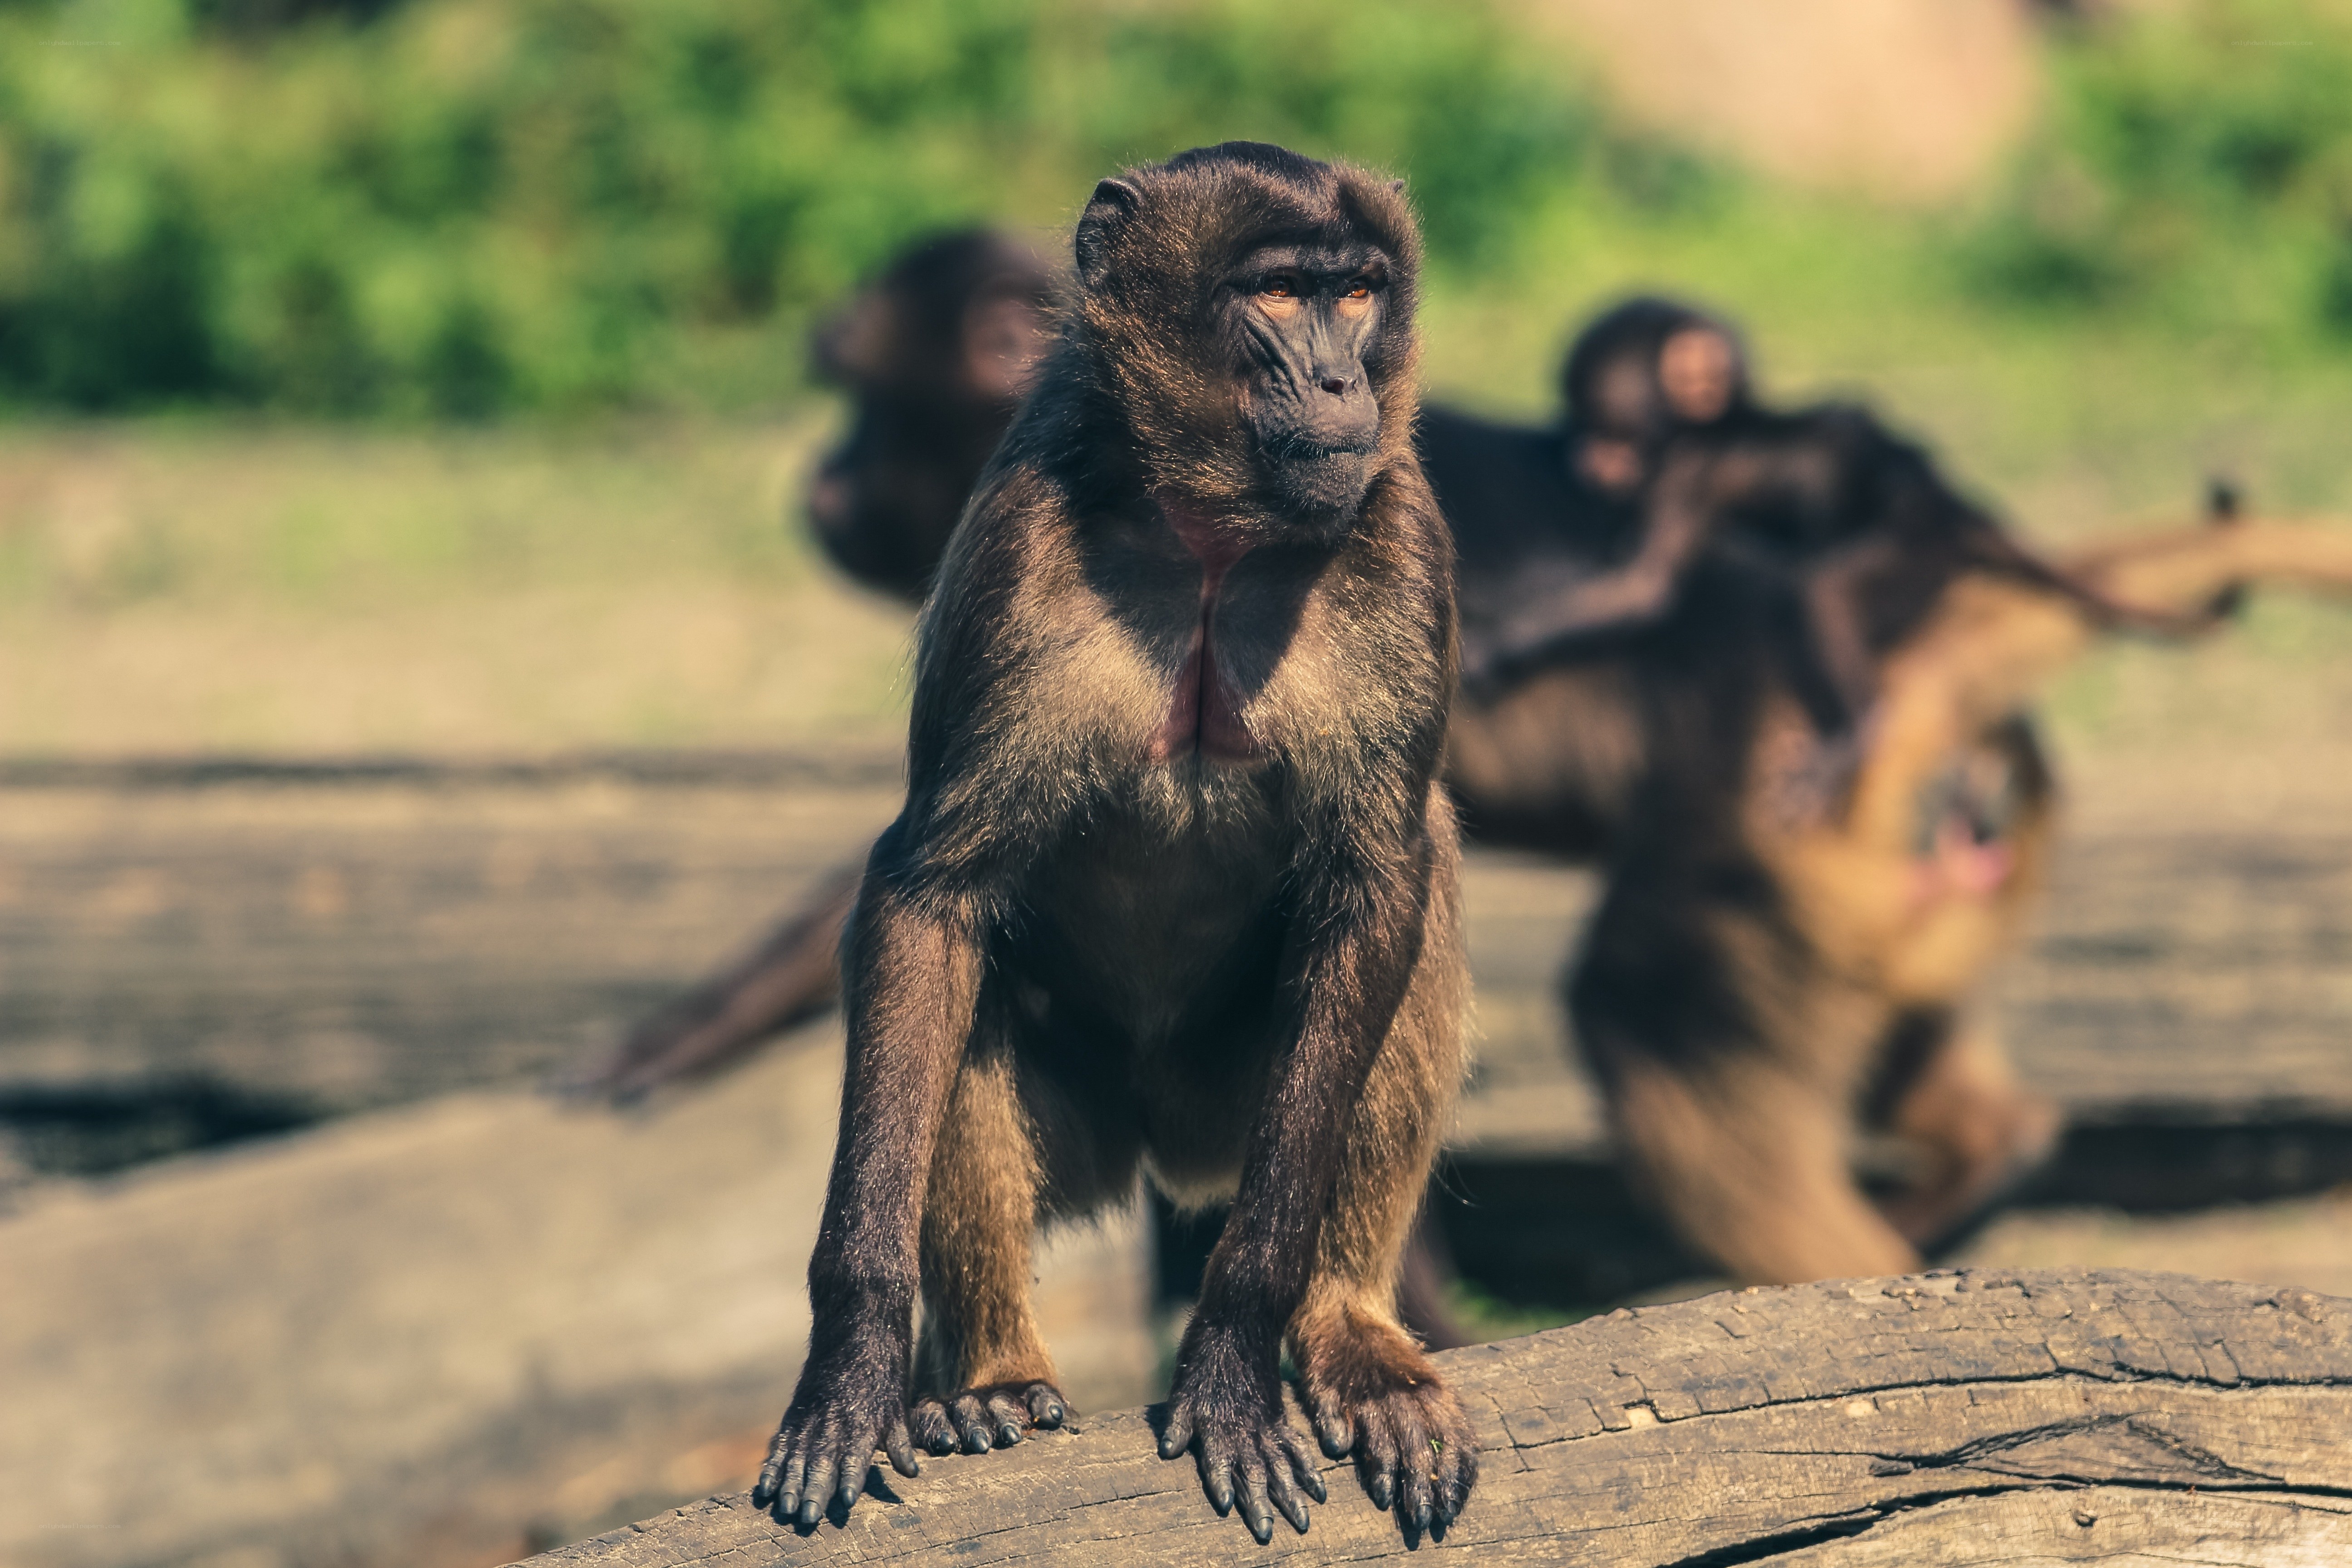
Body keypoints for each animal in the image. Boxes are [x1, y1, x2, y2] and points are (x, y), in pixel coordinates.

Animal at [748, 145, 1477, 1543]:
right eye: (1279, 293)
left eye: (1357, 291)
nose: (1342, 382)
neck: (1212, 534)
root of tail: (1162, 1147)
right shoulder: (1016, 544)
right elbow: (929, 895)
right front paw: (853, 1363)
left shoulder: (1404, 535)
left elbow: (1378, 883)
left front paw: (1237, 1348)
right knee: (961, 985)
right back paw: (993, 1375)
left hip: (1231, 1103)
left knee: (1421, 886)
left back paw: (1348, 1327)